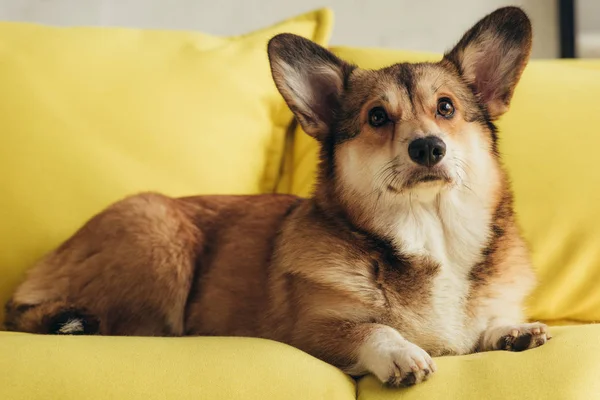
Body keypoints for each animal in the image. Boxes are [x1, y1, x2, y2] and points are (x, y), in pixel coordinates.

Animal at [4, 6, 548, 388]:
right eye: (377, 117)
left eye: (446, 108)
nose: (429, 147)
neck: (431, 235)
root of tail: (44, 265)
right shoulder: (310, 330)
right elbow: (371, 330)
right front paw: (402, 353)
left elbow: (488, 324)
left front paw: (512, 331)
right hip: (159, 236)